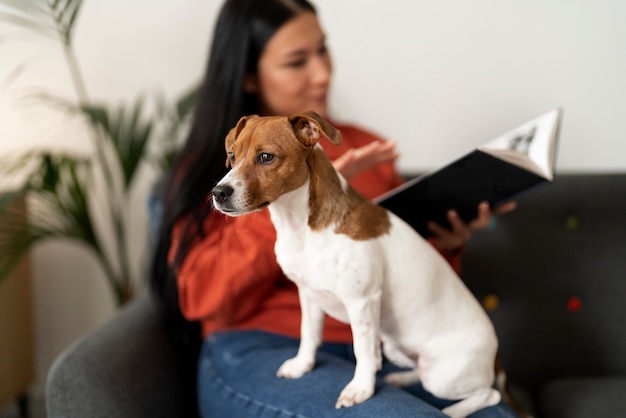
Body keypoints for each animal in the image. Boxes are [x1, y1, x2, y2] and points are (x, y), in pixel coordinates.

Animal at [212, 112, 516, 418]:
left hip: (444, 377)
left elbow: (363, 351)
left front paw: (360, 389)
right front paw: (302, 366)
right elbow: (309, 334)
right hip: (402, 353)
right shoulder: (308, 295)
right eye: (231, 155)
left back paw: (452, 411)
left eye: (266, 157)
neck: (301, 228)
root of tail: (496, 354)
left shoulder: (362, 301)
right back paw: (400, 378)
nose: (218, 192)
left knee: (488, 394)